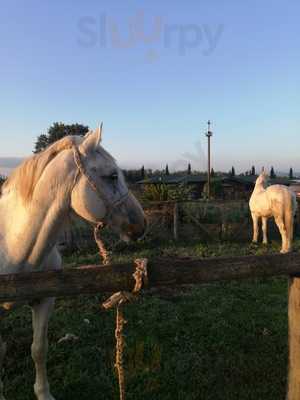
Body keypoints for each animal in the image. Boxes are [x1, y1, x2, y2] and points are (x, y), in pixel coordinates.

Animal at [0, 126, 146, 400]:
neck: (14, 246)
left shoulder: (45, 300)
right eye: (112, 176)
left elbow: (39, 348)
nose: (142, 224)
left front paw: (43, 394)